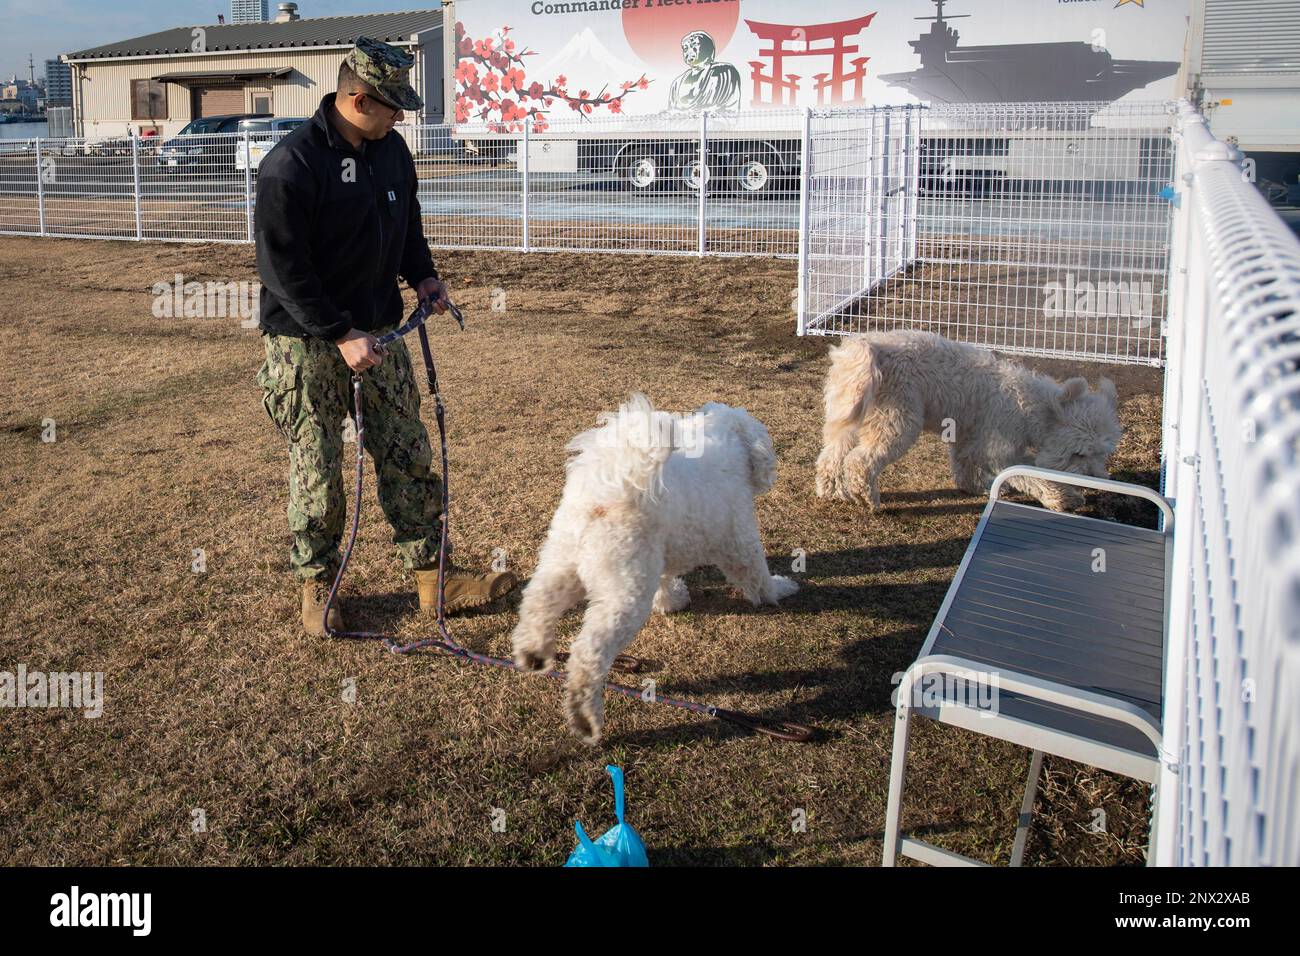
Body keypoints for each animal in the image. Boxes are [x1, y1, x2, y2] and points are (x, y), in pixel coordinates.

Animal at [512, 392, 795, 743]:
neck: (722, 440)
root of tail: (608, 491)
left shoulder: (659, 552)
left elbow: (666, 577)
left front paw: (672, 600)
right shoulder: (741, 540)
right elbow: (758, 576)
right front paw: (779, 590)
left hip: (562, 562)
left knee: (538, 604)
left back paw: (532, 651)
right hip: (624, 592)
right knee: (588, 655)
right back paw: (585, 717)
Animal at [816, 332, 1123, 512]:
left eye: (1103, 453)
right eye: (1078, 453)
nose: (1096, 479)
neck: (1031, 406)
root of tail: (874, 347)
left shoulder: (968, 435)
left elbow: (964, 463)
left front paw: (976, 486)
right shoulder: (999, 448)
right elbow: (1031, 474)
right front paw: (1062, 498)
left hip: (848, 414)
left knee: (831, 456)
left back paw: (832, 492)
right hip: (896, 421)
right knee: (860, 461)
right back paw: (867, 497)